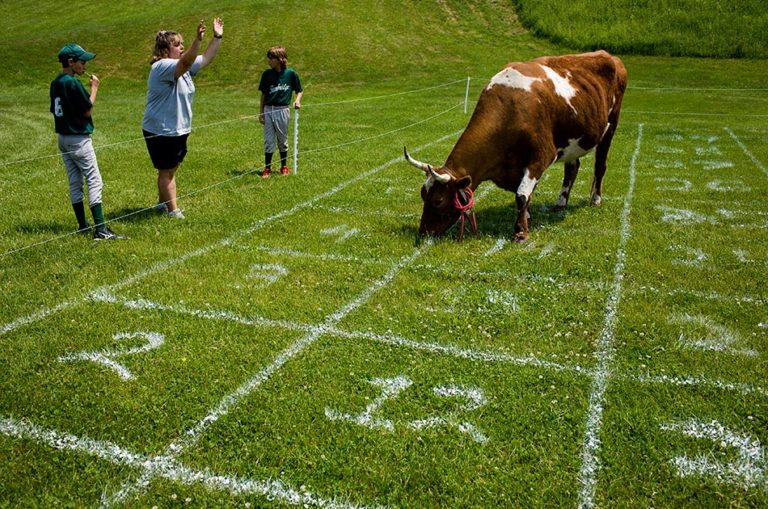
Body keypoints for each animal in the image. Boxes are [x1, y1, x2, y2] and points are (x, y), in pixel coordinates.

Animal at [404, 50, 627, 241]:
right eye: (423, 195)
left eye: (438, 201)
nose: (424, 232)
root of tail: (610, 56)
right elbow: (523, 195)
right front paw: (527, 217)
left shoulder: (541, 156)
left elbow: (521, 194)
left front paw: (521, 231)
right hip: (573, 141)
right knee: (572, 169)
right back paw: (560, 203)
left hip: (611, 127)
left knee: (600, 166)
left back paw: (595, 200)